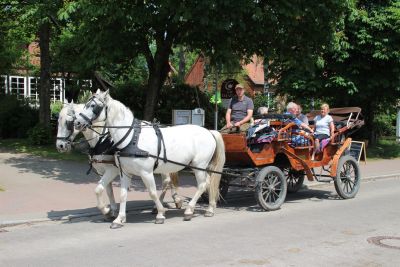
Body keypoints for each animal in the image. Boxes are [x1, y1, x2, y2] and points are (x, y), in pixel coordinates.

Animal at [75, 90, 225, 228]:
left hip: (199, 165)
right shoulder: (125, 173)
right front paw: (119, 219)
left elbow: (152, 193)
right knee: (209, 182)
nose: (77, 122)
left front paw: (160, 214)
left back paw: (189, 210)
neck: (132, 138)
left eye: (93, 106)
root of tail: (209, 131)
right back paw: (209, 208)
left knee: (202, 184)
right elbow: (122, 194)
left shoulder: (145, 173)